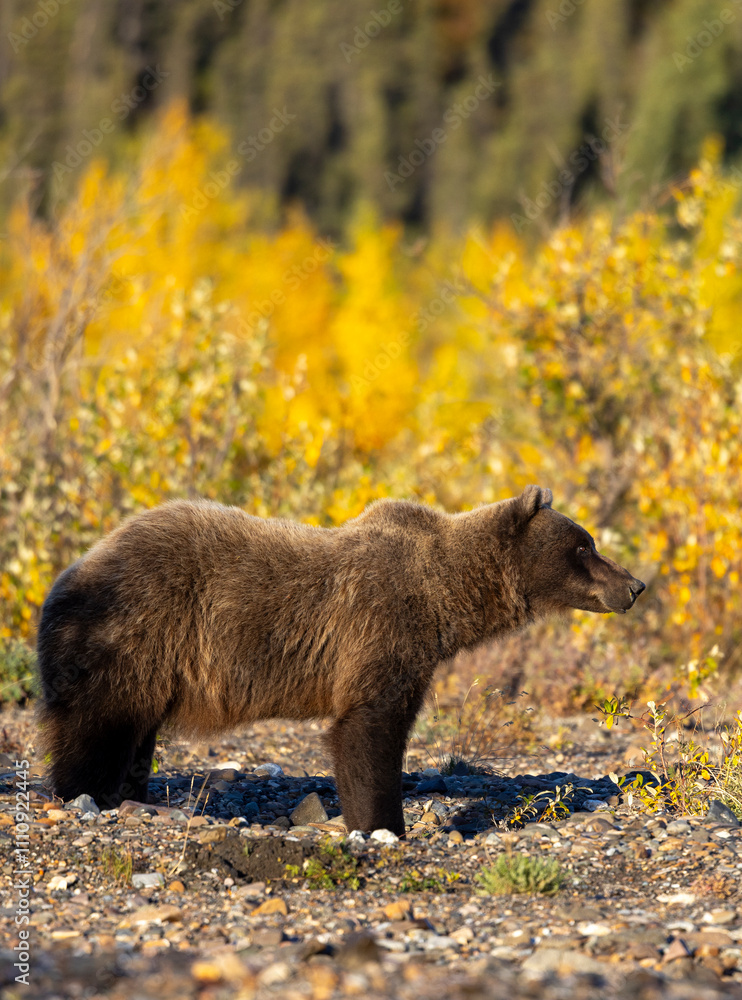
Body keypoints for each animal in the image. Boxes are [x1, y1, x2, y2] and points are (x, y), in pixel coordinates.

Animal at [36, 485, 645, 835]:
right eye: (584, 545)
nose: (635, 585)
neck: (443, 596)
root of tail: (72, 571)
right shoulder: (380, 627)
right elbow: (368, 730)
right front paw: (384, 825)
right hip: (134, 630)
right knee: (97, 727)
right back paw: (84, 797)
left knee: (135, 732)